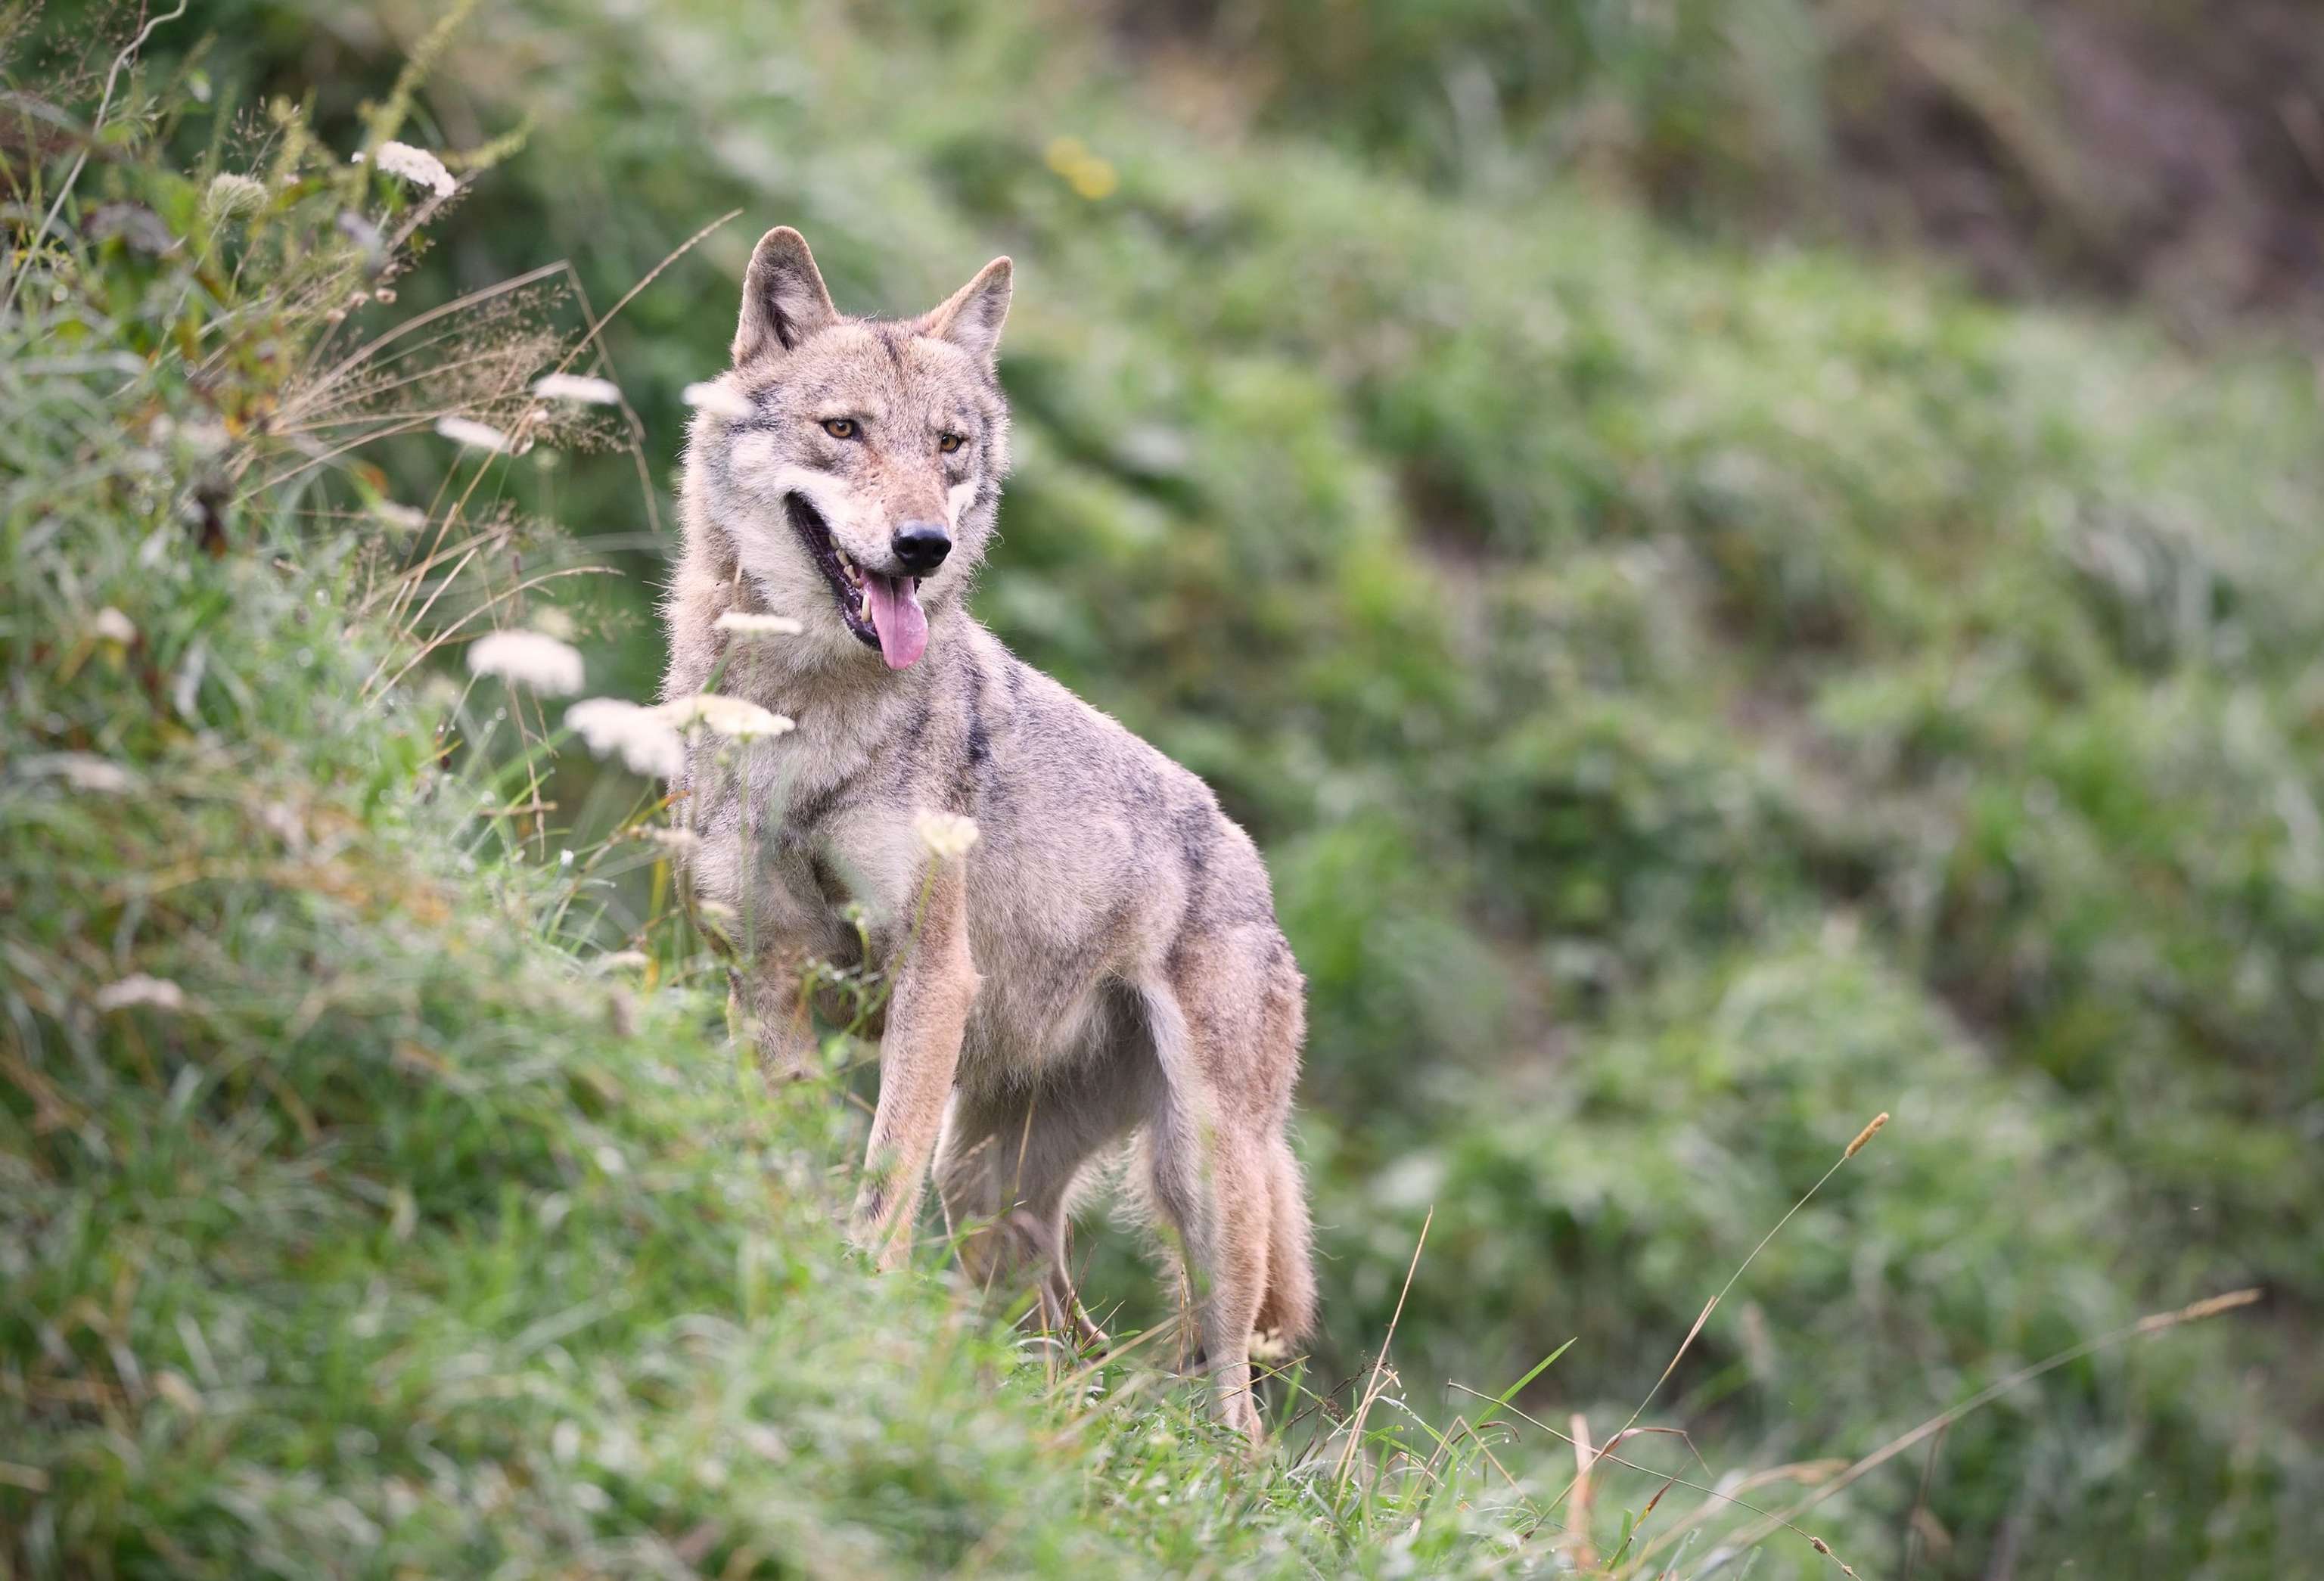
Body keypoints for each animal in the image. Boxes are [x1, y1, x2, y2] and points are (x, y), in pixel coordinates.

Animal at [660, 226, 1316, 1436]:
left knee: (1234, 1391)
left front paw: (850, 1304)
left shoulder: (933, 975)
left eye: (949, 444)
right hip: (988, 1190)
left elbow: (878, 1179)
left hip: (1202, 1184)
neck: (802, 714)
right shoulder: (770, 968)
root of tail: (1250, 860)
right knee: (1070, 1336)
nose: (921, 544)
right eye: (845, 429)